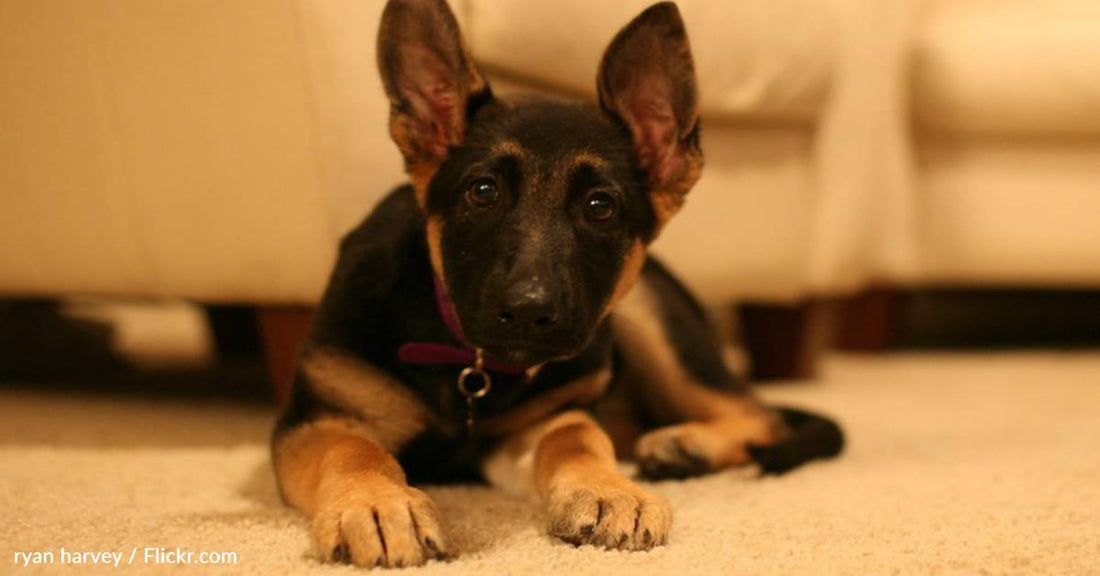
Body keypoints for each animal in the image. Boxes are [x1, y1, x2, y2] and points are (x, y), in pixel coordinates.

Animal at [272, 0, 840, 567]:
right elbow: (354, 449)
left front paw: (610, 491)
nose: (528, 310)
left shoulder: (548, 419)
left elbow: (577, 440)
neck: (467, 363)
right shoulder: (319, 420)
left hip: (649, 319)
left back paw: (686, 444)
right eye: (483, 191)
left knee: (762, 415)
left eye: (600, 206)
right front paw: (377, 503)